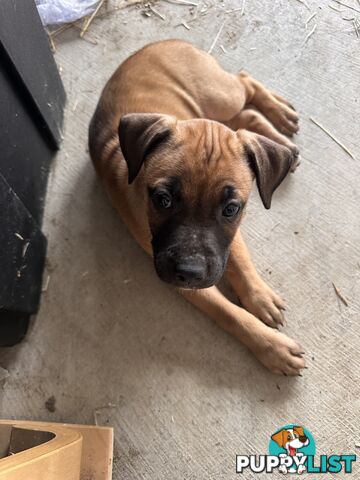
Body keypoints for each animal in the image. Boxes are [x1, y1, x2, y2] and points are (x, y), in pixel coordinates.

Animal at [88, 40, 306, 376]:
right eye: (162, 199)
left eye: (230, 209)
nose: (189, 272)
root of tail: (160, 43)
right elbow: (230, 314)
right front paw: (272, 347)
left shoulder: (228, 238)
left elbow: (241, 262)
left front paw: (259, 297)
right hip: (220, 103)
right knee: (245, 118)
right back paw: (282, 131)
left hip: (220, 96)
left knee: (244, 86)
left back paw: (280, 117)